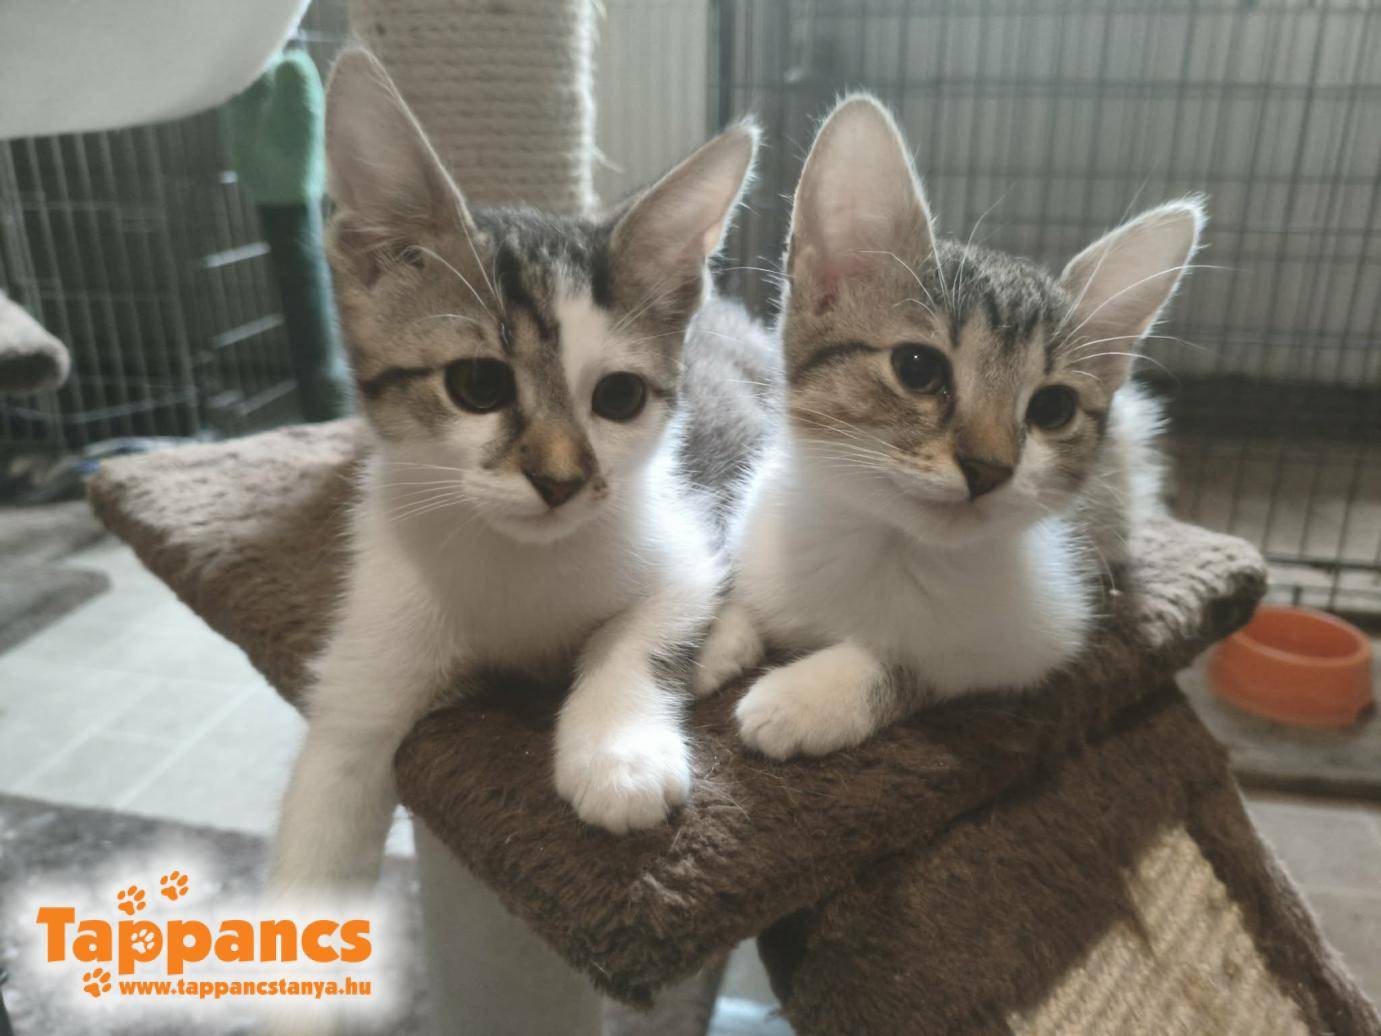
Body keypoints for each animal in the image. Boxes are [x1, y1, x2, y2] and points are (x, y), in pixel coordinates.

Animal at [270, 49, 774, 894]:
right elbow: (323, 821)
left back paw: (724, 646)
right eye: (478, 384)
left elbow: (647, 623)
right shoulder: (366, 664)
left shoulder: (677, 534)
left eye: (618, 397)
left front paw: (616, 751)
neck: (518, 562)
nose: (561, 480)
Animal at [695, 94, 1202, 760]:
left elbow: (923, 662)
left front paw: (809, 697)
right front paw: (709, 636)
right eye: (918, 368)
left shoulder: (1033, 641)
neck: (888, 544)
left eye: (1052, 408)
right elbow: (744, 595)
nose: (988, 469)